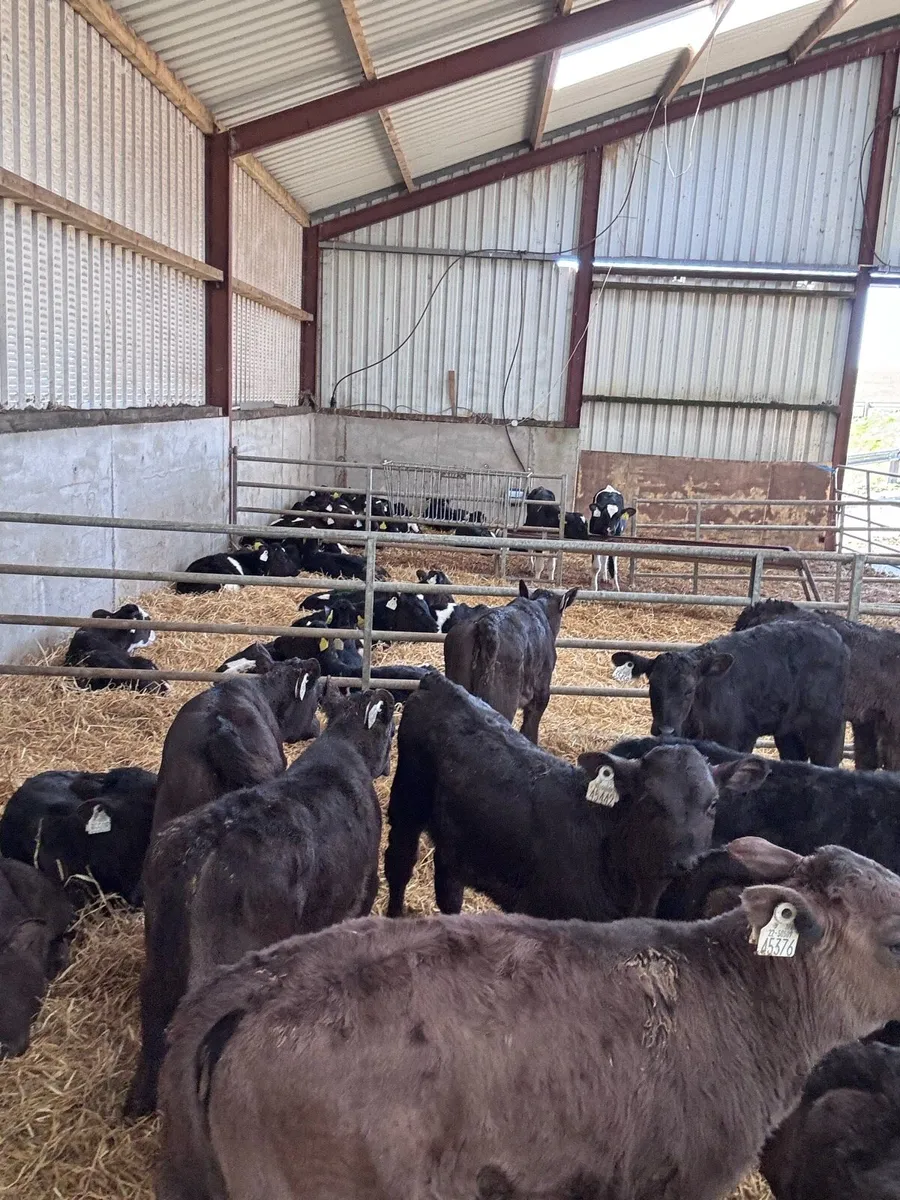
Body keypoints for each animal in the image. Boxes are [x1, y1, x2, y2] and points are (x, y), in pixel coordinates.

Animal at [124, 683, 394, 1119]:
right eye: (391, 730)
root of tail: (208, 839)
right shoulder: (362, 889)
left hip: (160, 952)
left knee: (155, 1006)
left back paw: (141, 1101)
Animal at [385, 671, 737, 920]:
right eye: (650, 801)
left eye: (713, 804)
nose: (688, 861)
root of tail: (440, 682)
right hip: (407, 802)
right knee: (399, 864)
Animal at [610, 620, 849, 765]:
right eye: (653, 686)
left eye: (689, 690)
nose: (665, 730)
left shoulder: (733, 740)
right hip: (788, 732)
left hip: (828, 730)